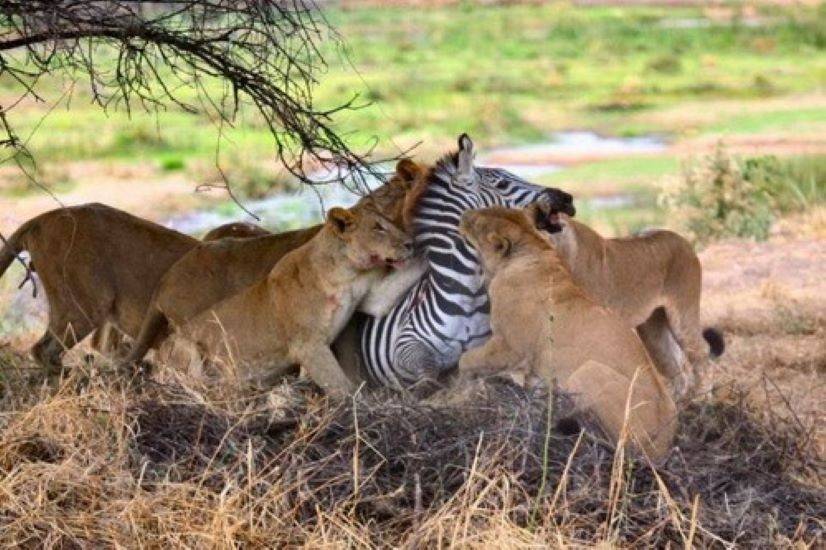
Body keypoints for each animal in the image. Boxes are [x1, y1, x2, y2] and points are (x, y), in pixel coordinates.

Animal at [144, 205, 412, 394]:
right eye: (378, 228)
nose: (409, 243)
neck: (347, 273)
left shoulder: (372, 296)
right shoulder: (308, 345)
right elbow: (341, 386)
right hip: (185, 345)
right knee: (193, 382)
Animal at [454, 209, 672, 464]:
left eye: (476, 222)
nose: (463, 214)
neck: (530, 245)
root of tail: (667, 440)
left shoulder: (509, 347)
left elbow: (466, 360)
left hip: (588, 371)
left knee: (620, 447)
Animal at [536, 205, 720, 398]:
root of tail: (684, 241)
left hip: (683, 314)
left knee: (701, 351)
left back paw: (703, 397)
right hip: (653, 332)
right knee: (673, 364)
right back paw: (678, 401)